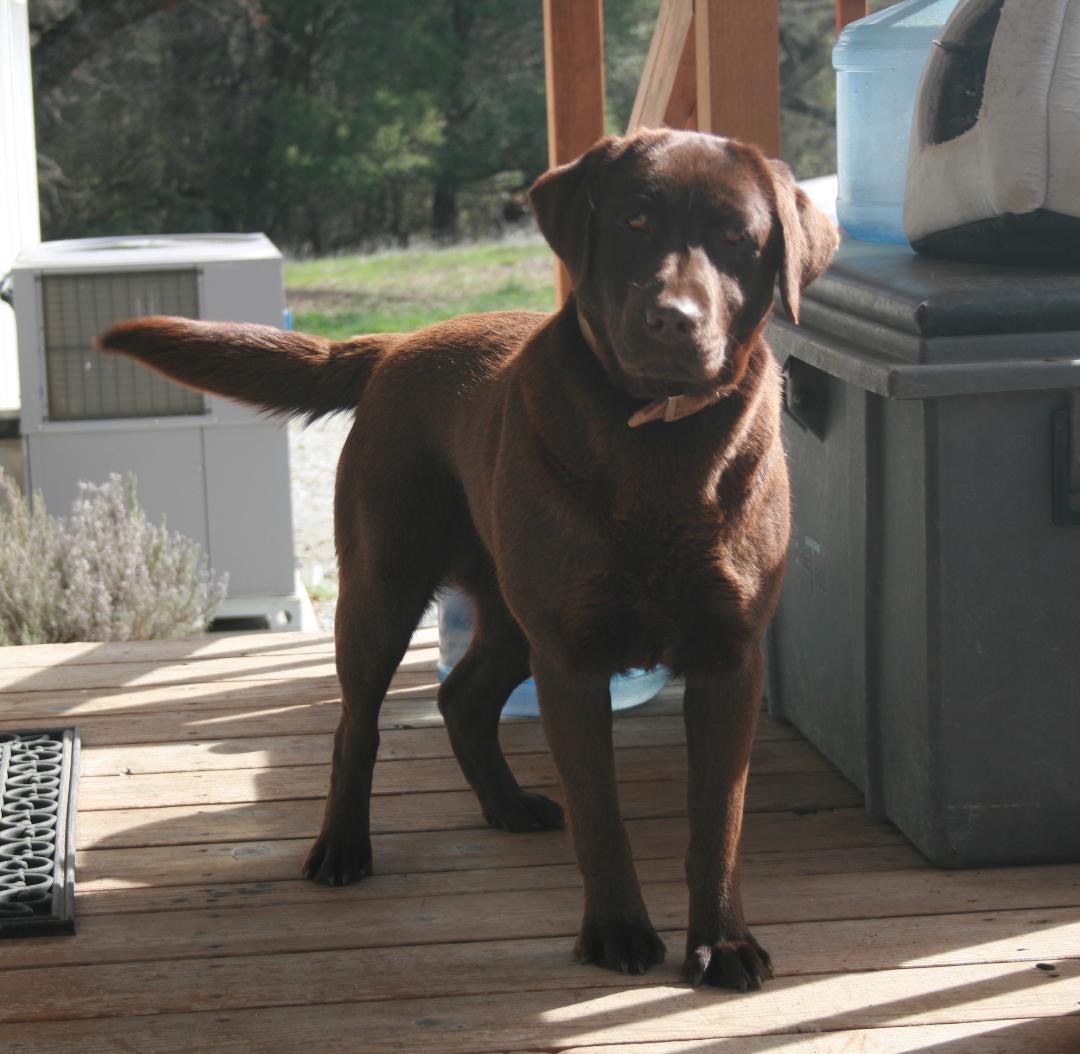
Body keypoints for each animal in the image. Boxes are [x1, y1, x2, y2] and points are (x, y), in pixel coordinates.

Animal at [97, 129, 838, 989]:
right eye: (636, 220)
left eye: (735, 238)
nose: (670, 321)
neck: (658, 448)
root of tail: (397, 343)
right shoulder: (572, 660)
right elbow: (601, 813)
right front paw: (617, 930)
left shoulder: (729, 659)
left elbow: (718, 820)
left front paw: (723, 942)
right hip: (384, 591)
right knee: (358, 728)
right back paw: (343, 848)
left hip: (514, 615)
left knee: (462, 699)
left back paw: (507, 806)